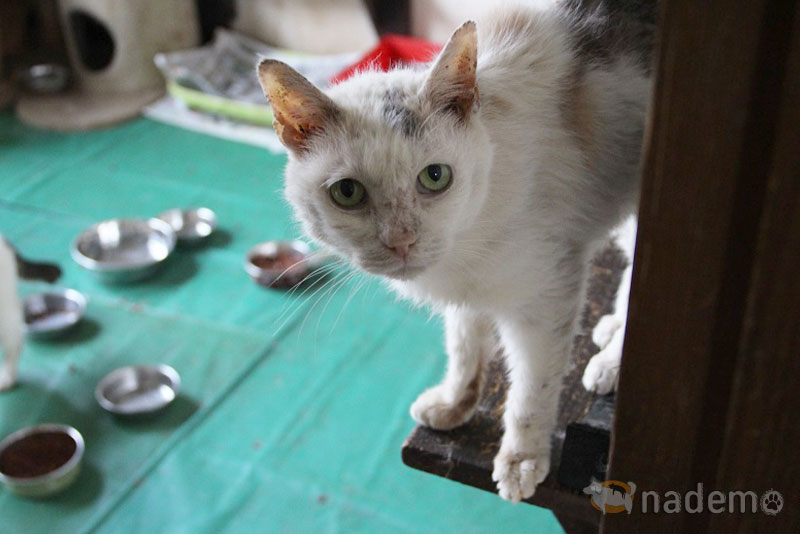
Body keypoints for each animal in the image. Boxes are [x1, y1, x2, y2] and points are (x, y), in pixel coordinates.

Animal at [260, 2, 652, 504]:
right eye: (347, 192)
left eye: (435, 177)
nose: (401, 240)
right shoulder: (466, 283)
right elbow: (465, 343)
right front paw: (456, 402)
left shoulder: (547, 295)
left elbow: (532, 387)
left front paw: (522, 459)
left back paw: (612, 360)